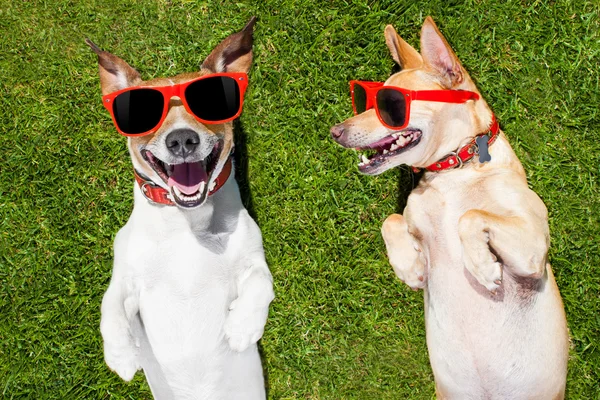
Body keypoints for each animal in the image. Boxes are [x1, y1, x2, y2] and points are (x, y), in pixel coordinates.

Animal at [86, 17, 274, 398]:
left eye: (208, 103)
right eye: (146, 114)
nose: (182, 139)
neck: (186, 221)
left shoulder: (252, 258)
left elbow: (264, 283)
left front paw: (242, 327)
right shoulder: (126, 279)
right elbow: (108, 306)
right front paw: (121, 355)